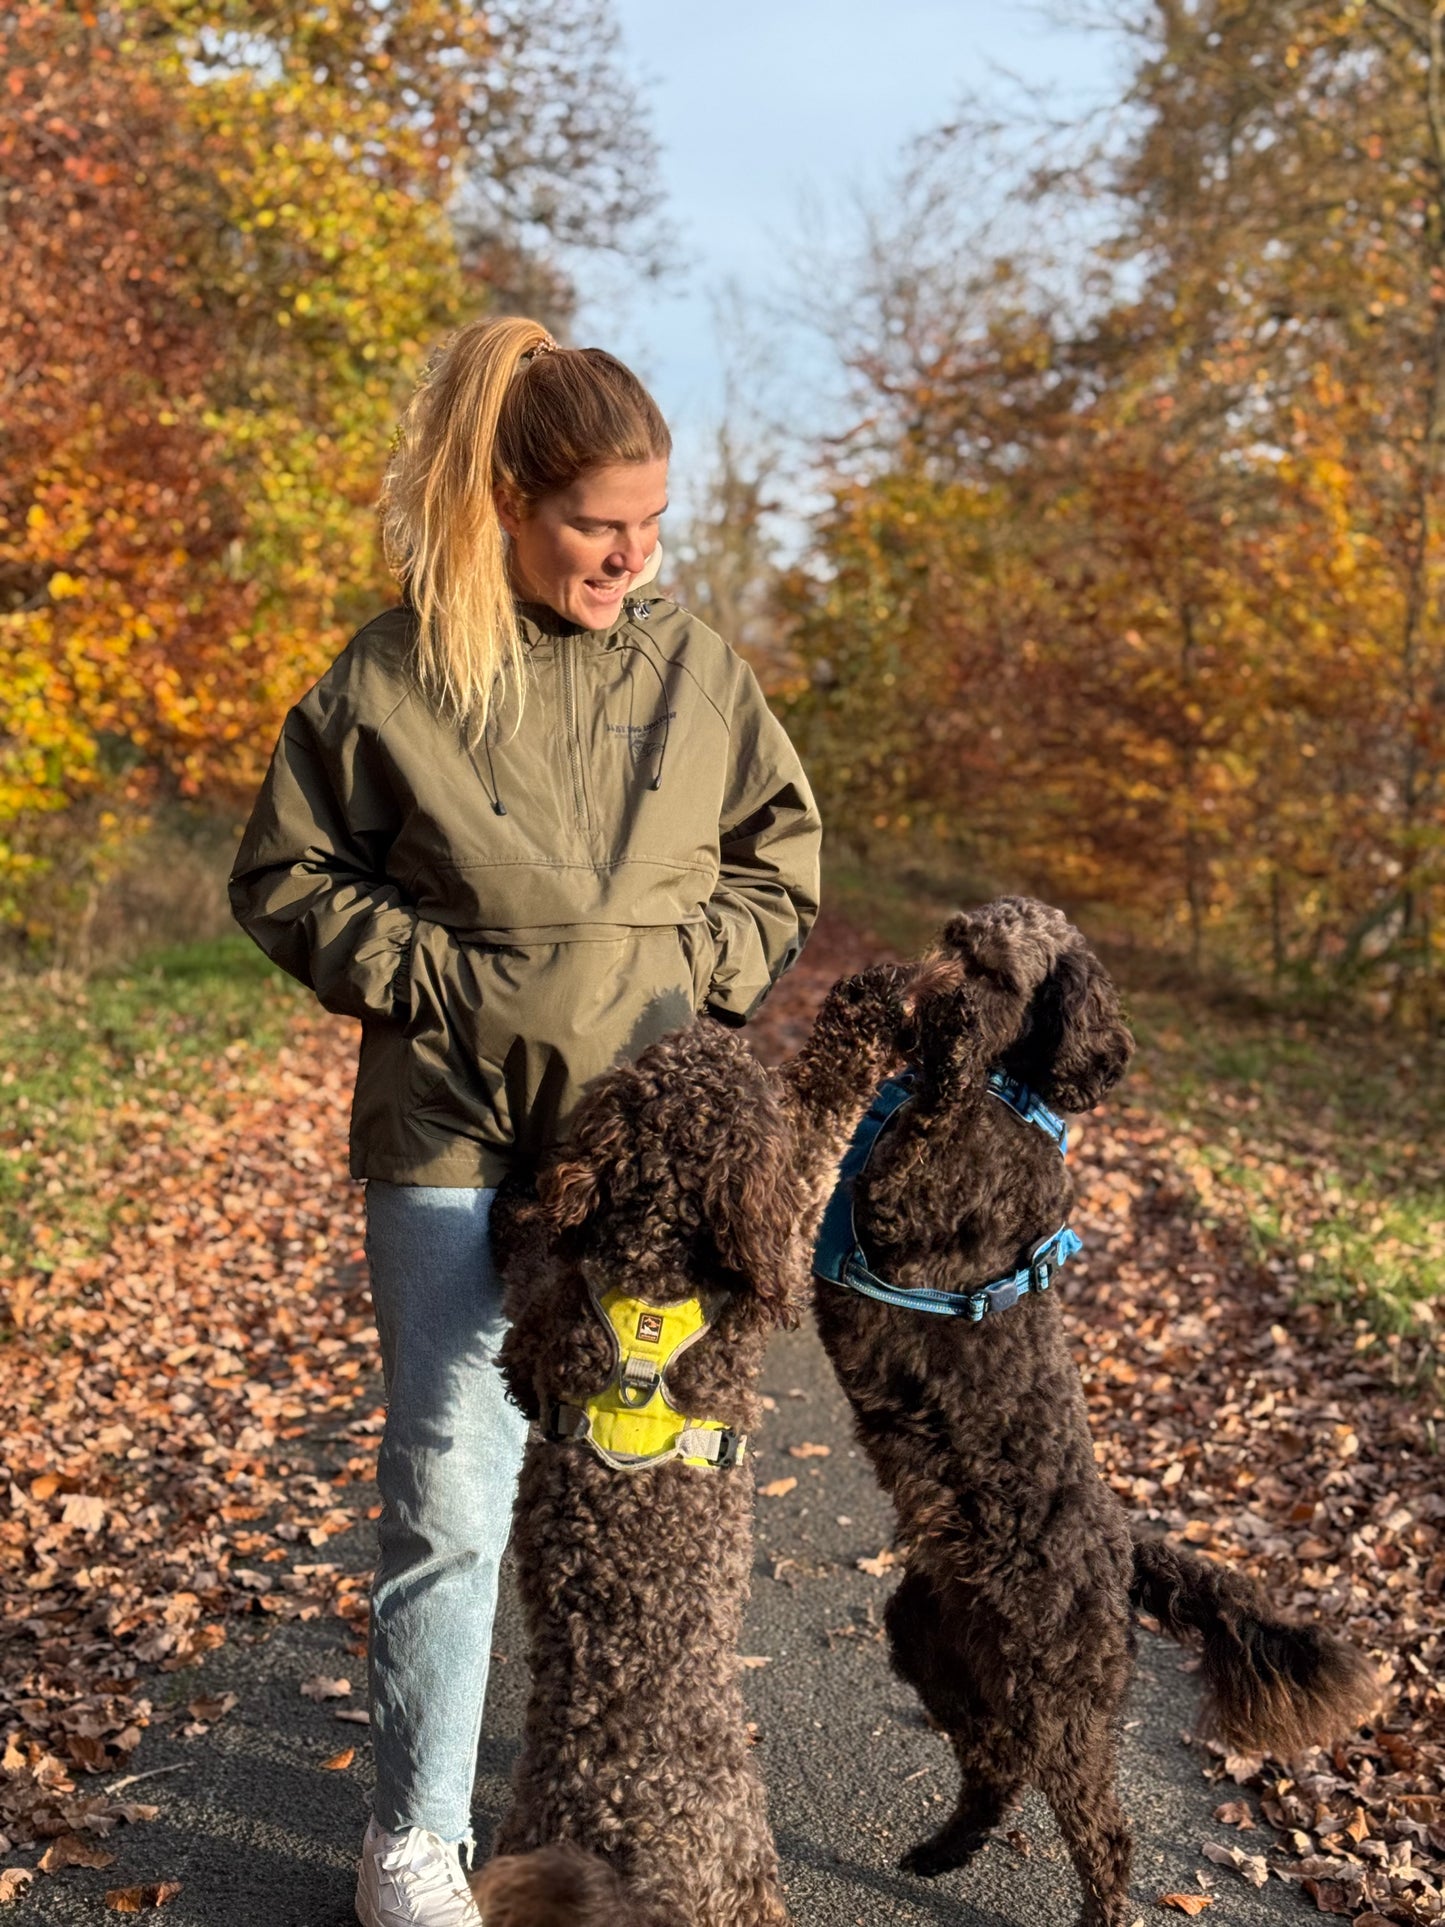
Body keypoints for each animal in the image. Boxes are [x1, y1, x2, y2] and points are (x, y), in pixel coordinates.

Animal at [475, 971, 917, 1927]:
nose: (708, 1027)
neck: (657, 1260)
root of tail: (637, 1856)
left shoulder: (540, 1323)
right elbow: (820, 1128)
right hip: (746, 1866)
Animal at [816, 901, 1379, 1927]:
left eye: (1002, 970)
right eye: (953, 938)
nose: (939, 982)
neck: (1013, 1094)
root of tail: (1123, 1545)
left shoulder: (899, 1208)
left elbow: (924, 1123)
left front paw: (945, 1046)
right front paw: (875, 1000)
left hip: (1058, 1694)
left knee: (1100, 1829)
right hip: (934, 1639)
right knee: (995, 1765)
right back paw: (944, 1850)